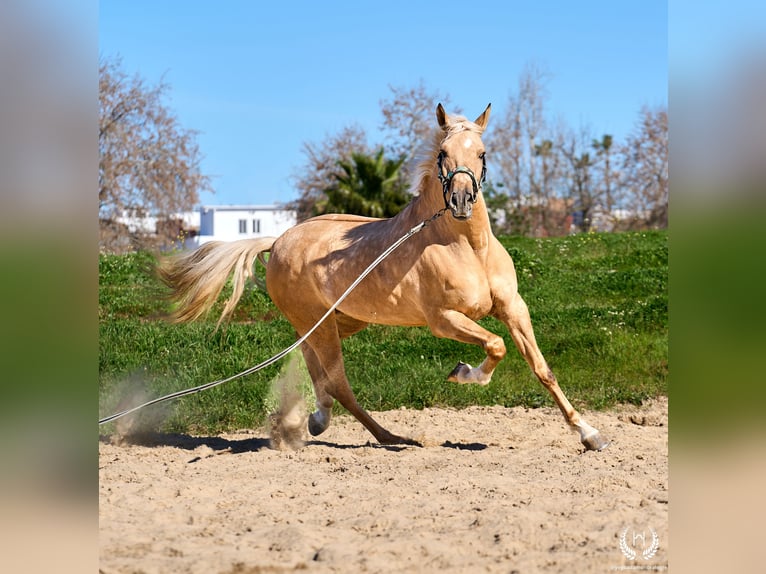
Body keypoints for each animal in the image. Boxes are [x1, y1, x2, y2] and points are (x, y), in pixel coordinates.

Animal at [157, 104, 608, 451]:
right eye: (443, 153)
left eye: (482, 153)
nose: (462, 200)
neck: (468, 247)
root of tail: (278, 241)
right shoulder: (444, 320)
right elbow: (495, 347)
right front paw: (463, 372)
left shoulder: (514, 309)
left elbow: (543, 369)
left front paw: (590, 435)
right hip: (321, 325)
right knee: (338, 382)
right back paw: (394, 438)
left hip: (336, 323)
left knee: (313, 364)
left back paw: (319, 421)